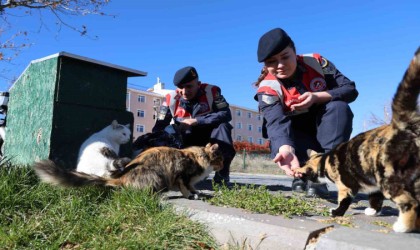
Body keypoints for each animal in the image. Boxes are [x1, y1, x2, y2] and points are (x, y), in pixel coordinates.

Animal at [33, 143, 223, 199]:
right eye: (221, 159)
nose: (222, 165)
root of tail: (121, 177)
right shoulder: (182, 175)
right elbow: (185, 188)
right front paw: (191, 196)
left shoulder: (189, 180)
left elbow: (192, 187)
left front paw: (197, 192)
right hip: (157, 176)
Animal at [296, 47, 420, 233]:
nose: (303, 178)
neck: (324, 161)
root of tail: (404, 124)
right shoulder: (372, 183)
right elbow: (375, 197)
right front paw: (372, 210)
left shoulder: (346, 186)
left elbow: (344, 201)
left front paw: (336, 212)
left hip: (390, 178)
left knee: (410, 202)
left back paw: (403, 226)